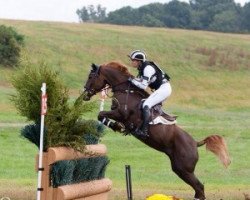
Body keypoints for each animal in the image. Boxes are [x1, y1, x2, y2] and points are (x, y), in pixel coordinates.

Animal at [82, 61, 230, 199]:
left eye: (90, 77)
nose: (84, 94)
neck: (125, 90)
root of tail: (195, 143)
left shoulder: (121, 114)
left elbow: (100, 114)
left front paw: (116, 126)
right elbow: (101, 115)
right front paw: (117, 126)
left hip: (184, 169)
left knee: (199, 187)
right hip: (179, 168)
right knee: (198, 188)